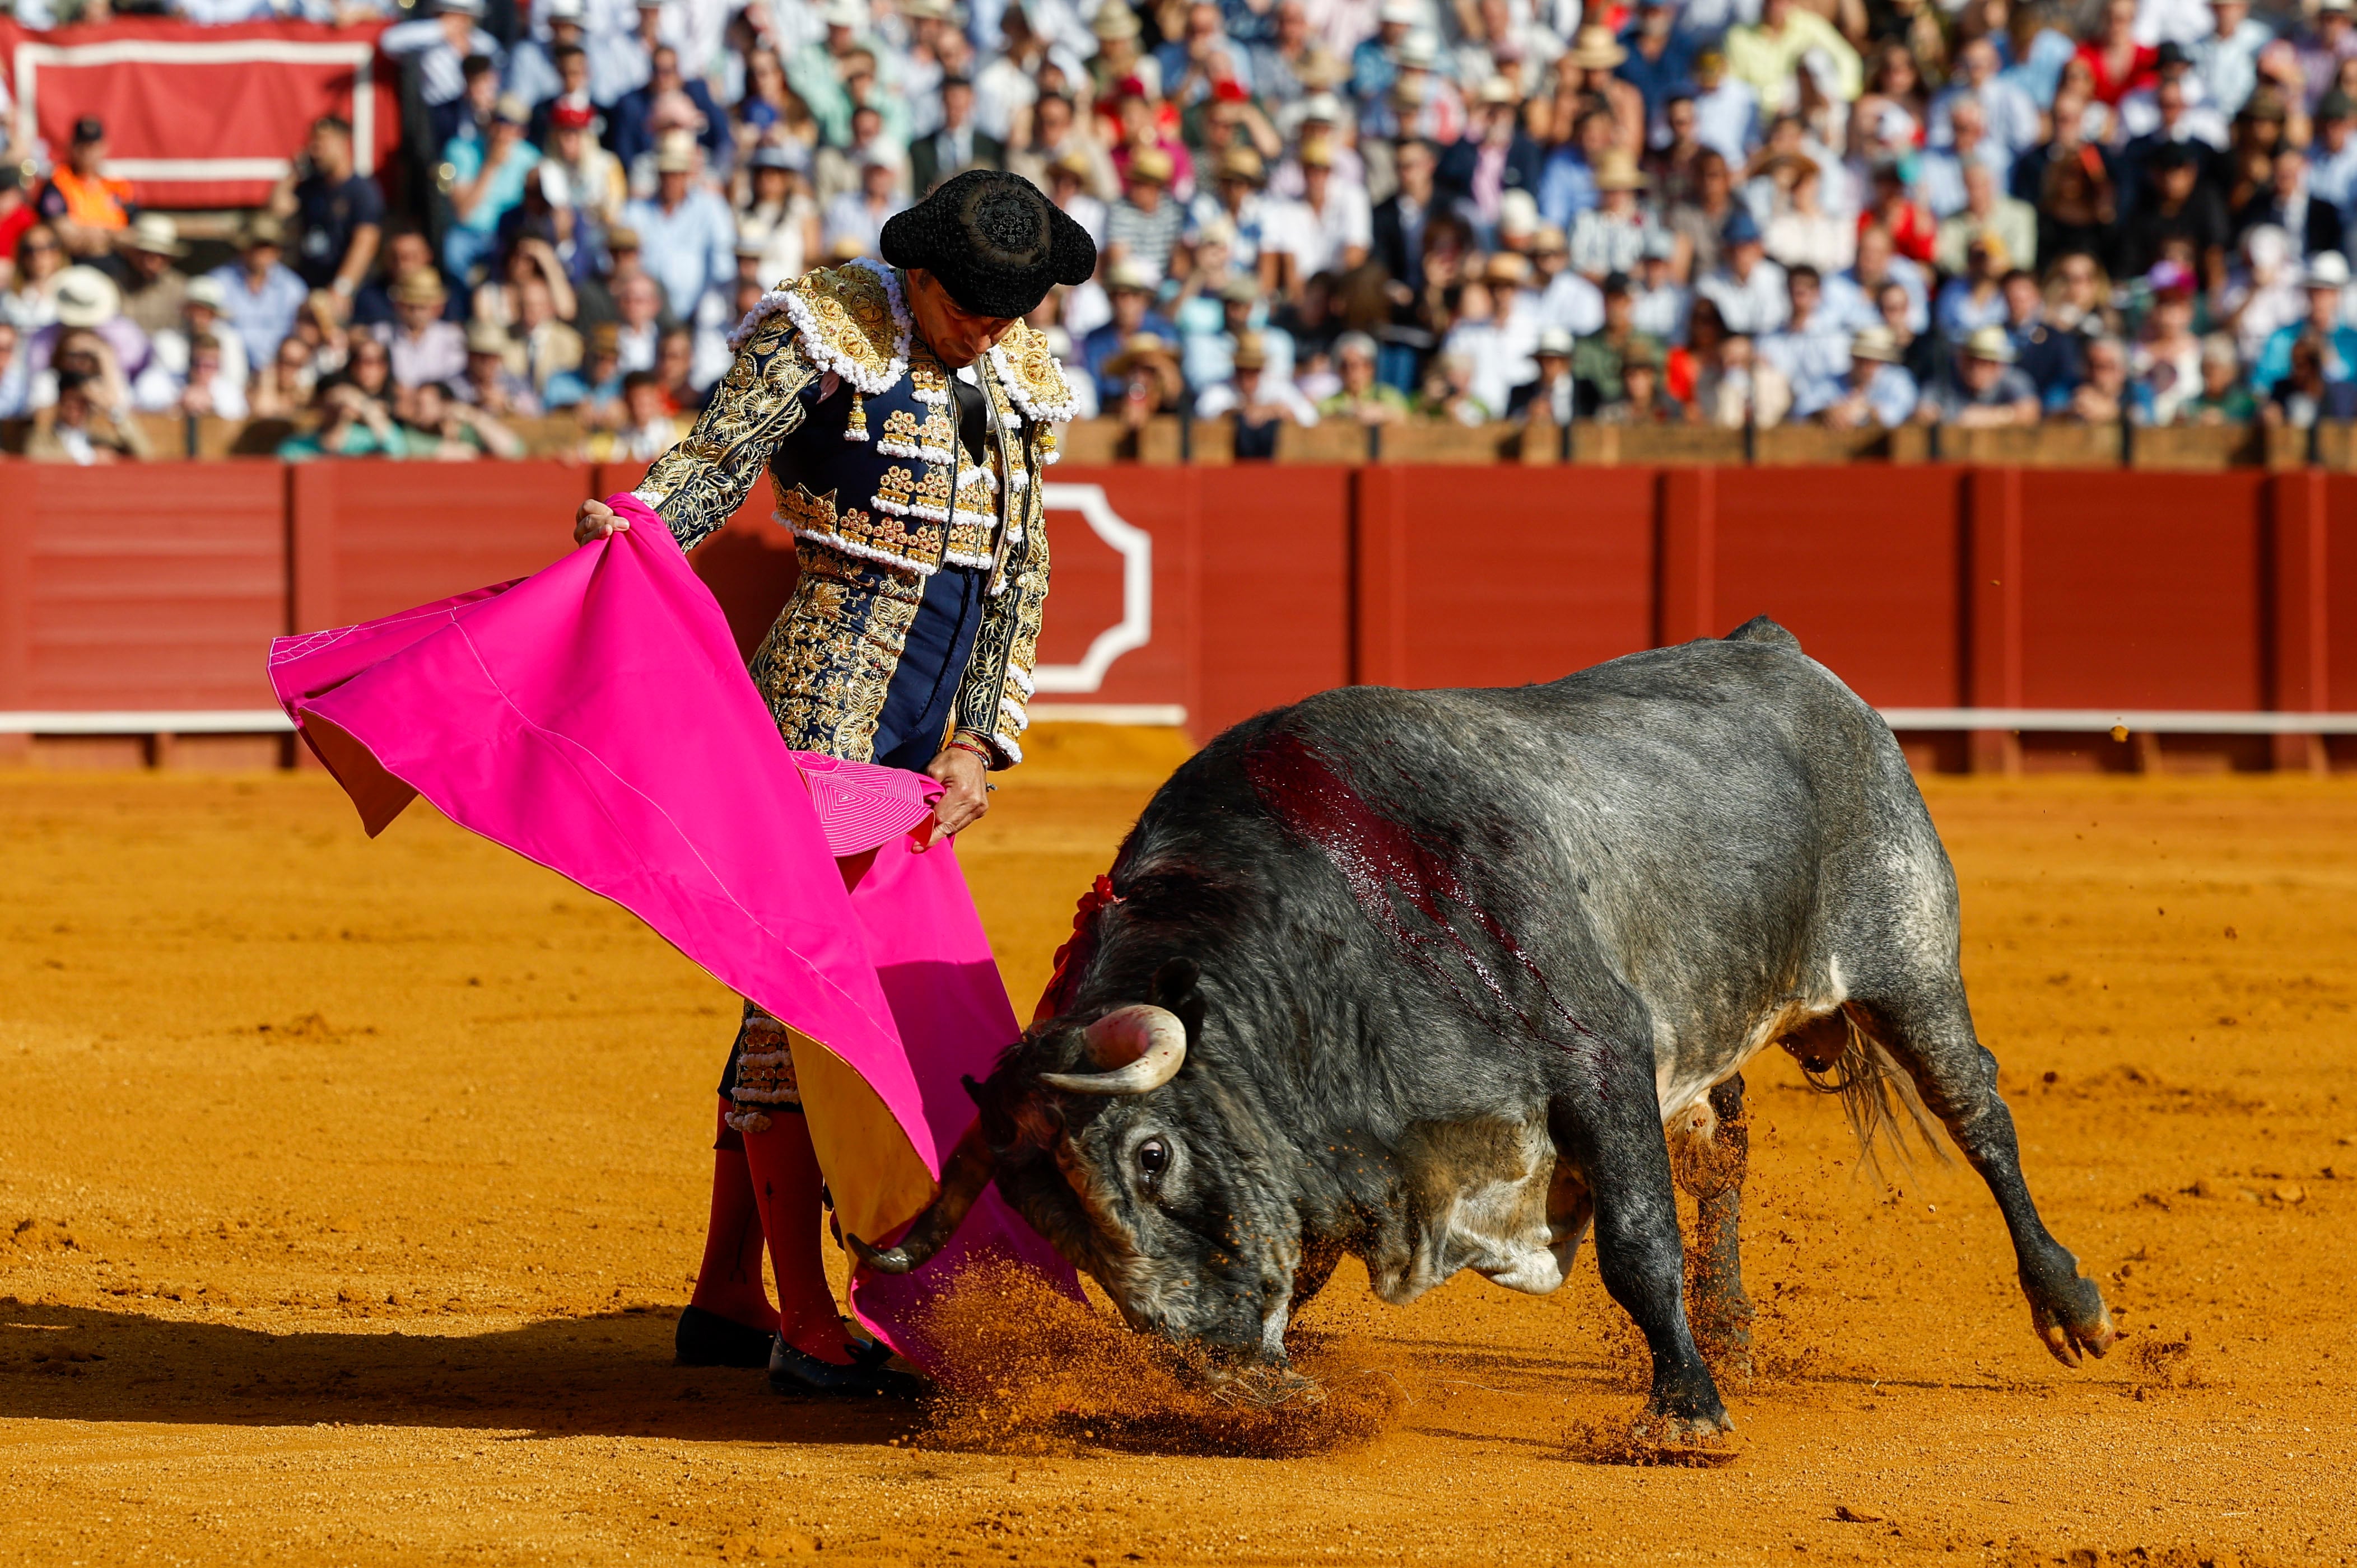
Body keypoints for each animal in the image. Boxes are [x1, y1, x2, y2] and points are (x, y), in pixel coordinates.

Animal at [848, 618, 2121, 1434]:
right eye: (1044, 1220)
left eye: (1149, 1155)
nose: (1208, 1367)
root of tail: (1778, 650)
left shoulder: (1601, 1063)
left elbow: (1635, 1242)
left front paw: (1683, 1414)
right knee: (1723, 1162)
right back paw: (1734, 1334)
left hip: (1908, 962)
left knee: (1979, 1115)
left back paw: (2071, 1309)